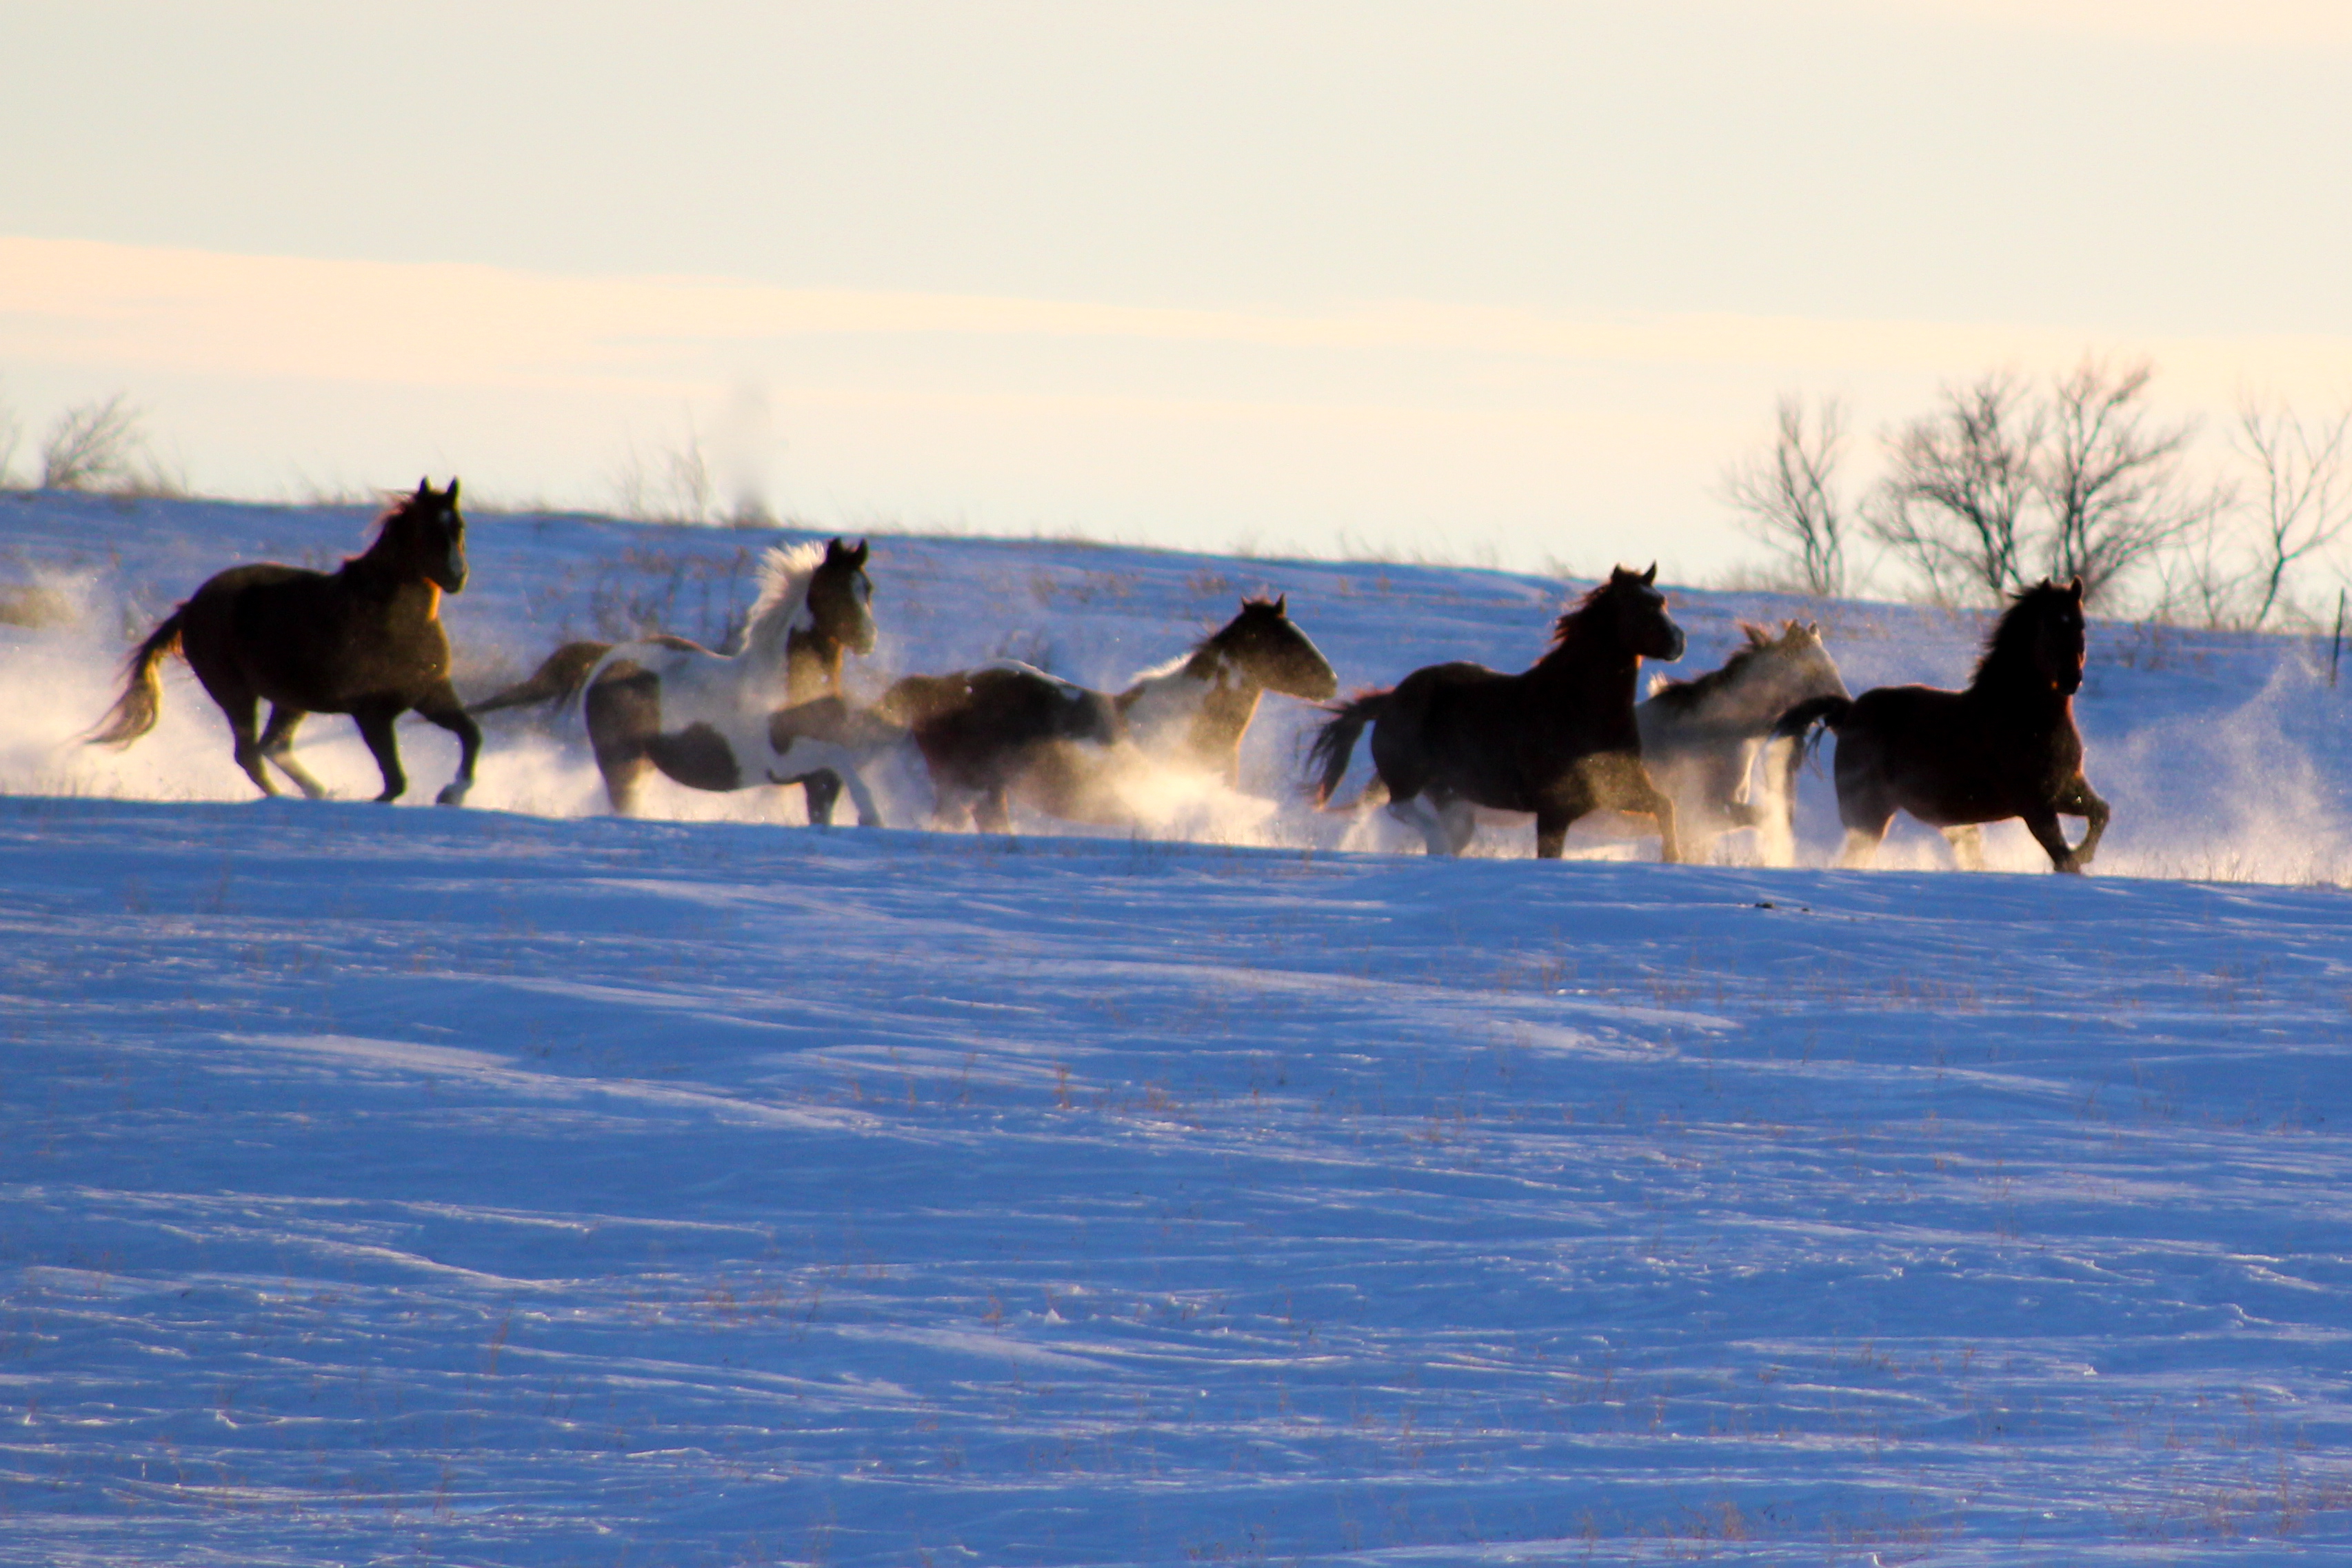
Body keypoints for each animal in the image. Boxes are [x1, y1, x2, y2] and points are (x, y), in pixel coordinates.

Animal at [87, 478, 481, 805]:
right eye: (427, 530)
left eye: (459, 526)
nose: (458, 576)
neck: (391, 620)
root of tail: (191, 608)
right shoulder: (372, 713)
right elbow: (395, 782)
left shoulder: (431, 694)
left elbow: (471, 734)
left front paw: (453, 794)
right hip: (236, 693)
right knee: (250, 753)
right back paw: (286, 799)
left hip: (289, 699)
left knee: (272, 747)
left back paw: (319, 793)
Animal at [473, 538, 876, 820]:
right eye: (833, 590)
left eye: (867, 589)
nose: (868, 639)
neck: (788, 684)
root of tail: (610, 657)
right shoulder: (784, 763)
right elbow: (840, 757)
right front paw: (872, 818)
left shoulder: (817, 781)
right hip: (622, 761)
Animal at [1310, 565, 1687, 860]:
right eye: (1640, 606)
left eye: (1662, 602)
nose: (1679, 642)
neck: (1578, 707)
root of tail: (1391, 698)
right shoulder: (1554, 810)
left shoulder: (1618, 790)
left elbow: (1666, 805)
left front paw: (1673, 858)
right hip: (1410, 778)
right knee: (1400, 808)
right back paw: (1438, 840)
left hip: (1448, 793)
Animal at [1637, 620, 1848, 864]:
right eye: (1812, 671)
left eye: (1835, 668)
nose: (1845, 710)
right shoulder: (1704, 815)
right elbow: (1767, 819)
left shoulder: (1703, 829)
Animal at [1770, 578, 2109, 873]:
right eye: (2051, 624)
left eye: (2081, 625)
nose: (2071, 679)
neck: (2020, 716)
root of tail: (1851, 711)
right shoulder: (2033, 803)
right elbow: (2063, 855)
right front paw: (2077, 860)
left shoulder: (2065, 788)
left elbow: (2100, 813)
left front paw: (2085, 854)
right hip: (1870, 815)